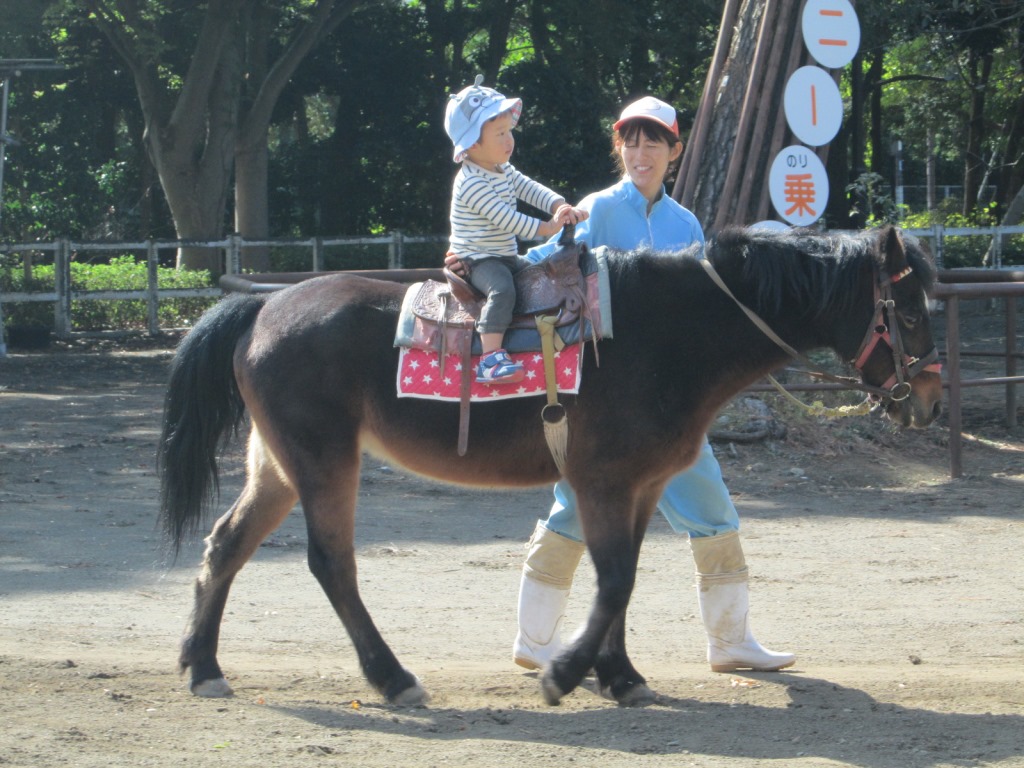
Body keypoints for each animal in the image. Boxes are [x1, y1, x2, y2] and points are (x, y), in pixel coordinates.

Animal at [155, 222, 937, 708]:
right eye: (908, 309)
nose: (928, 400)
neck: (666, 334)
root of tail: (261, 310)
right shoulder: (601, 481)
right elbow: (614, 580)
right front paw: (565, 673)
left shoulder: (640, 486)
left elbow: (621, 579)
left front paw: (619, 676)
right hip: (322, 463)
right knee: (331, 563)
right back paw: (393, 678)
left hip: (278, 465)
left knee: (226, 545)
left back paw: (204, 667)